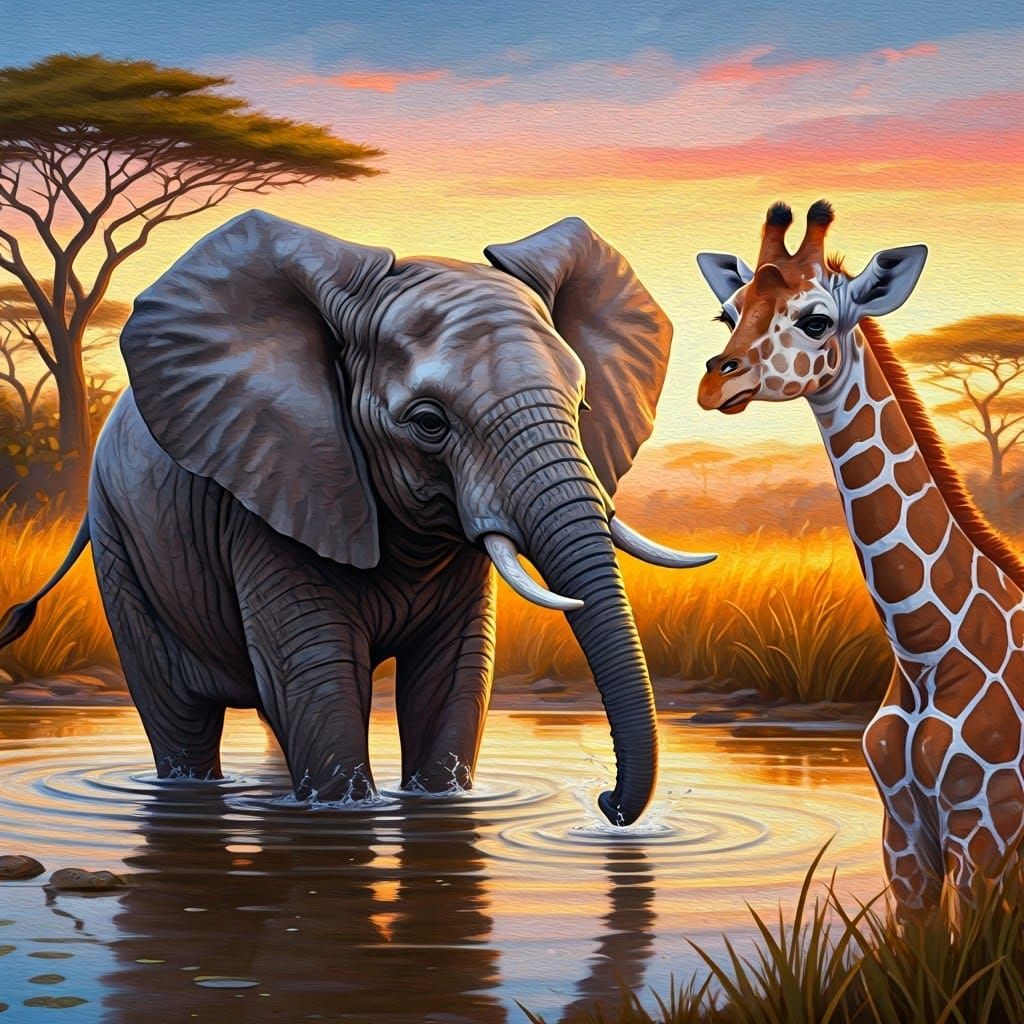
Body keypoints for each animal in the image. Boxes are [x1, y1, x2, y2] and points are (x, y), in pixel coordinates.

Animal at [0, 211, 714, 825]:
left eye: (582, 405)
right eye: (429, 423)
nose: (606, 803)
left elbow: (452, 677)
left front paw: (438, 806)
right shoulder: (278, 490)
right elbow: (319, 679)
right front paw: (344, 815)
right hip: (119, 535)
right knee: (178, 714)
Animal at [694, 200, 1024, 912]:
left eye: (816, 320)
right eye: (729, 314)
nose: (714, 386)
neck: (925, 654)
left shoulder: (988, 832)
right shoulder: (903, 836)